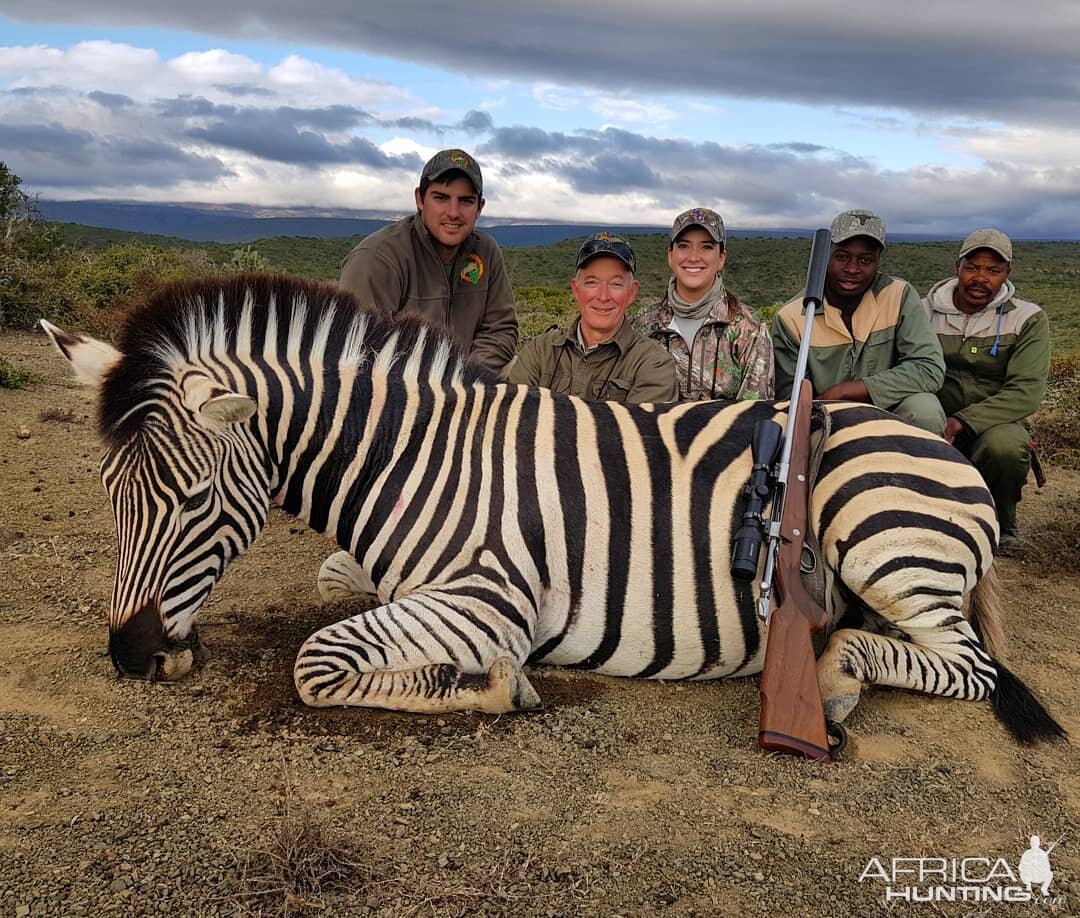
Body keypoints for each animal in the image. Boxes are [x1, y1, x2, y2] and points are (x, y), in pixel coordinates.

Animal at [39, 272, 1062, 743]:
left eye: (194, 498)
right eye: (109, 495)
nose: (130, 657)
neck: (412, 458)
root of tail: (943, 450)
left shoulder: (488, 597)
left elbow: (316, 661)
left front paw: (491, 684)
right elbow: (340, 590)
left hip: (886, 542)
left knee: (968, 666)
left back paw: (837, 674)